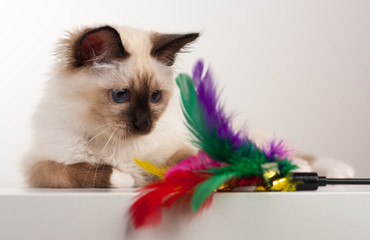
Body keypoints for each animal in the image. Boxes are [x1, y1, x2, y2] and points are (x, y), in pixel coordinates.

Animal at [23, 25, 199, 188]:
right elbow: (83, 172)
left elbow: (192, 159)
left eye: (155, 96)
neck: (111, 140)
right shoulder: (38, 168)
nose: (144, 125)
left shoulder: (177, 149)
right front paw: (129, 177)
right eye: (120, 95)